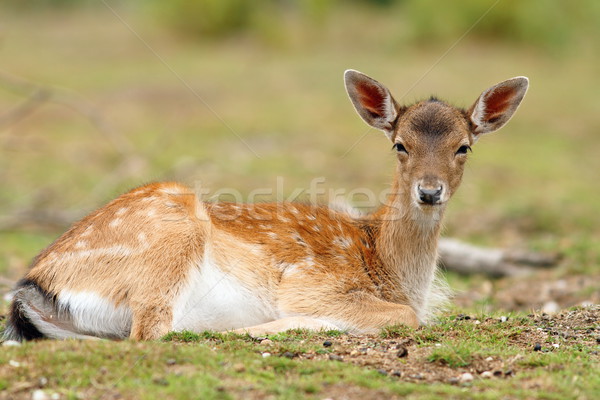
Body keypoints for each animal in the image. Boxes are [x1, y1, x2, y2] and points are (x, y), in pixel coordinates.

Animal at [3, 69, 528, 340]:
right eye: (400, 144)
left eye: (464, 147)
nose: (429, 191)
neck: (388, 265)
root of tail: (32, 288)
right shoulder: (312, 281)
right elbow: (405, 317)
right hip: (171, 236)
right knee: (158, 331)